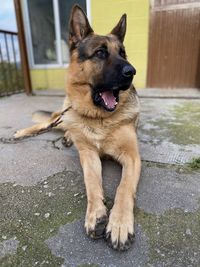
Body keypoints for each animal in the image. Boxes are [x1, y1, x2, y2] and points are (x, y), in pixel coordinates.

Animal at [14, 4, 141, 251]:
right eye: (100, 53)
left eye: (123, 53)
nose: (132, 72)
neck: (99, 119)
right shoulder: (88, 154)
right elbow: (91, 182)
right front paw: (96, 214)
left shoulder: (132, 157)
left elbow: (123, 188)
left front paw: (119, 224)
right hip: (66, 115)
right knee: (50, 121)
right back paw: (24, 133)